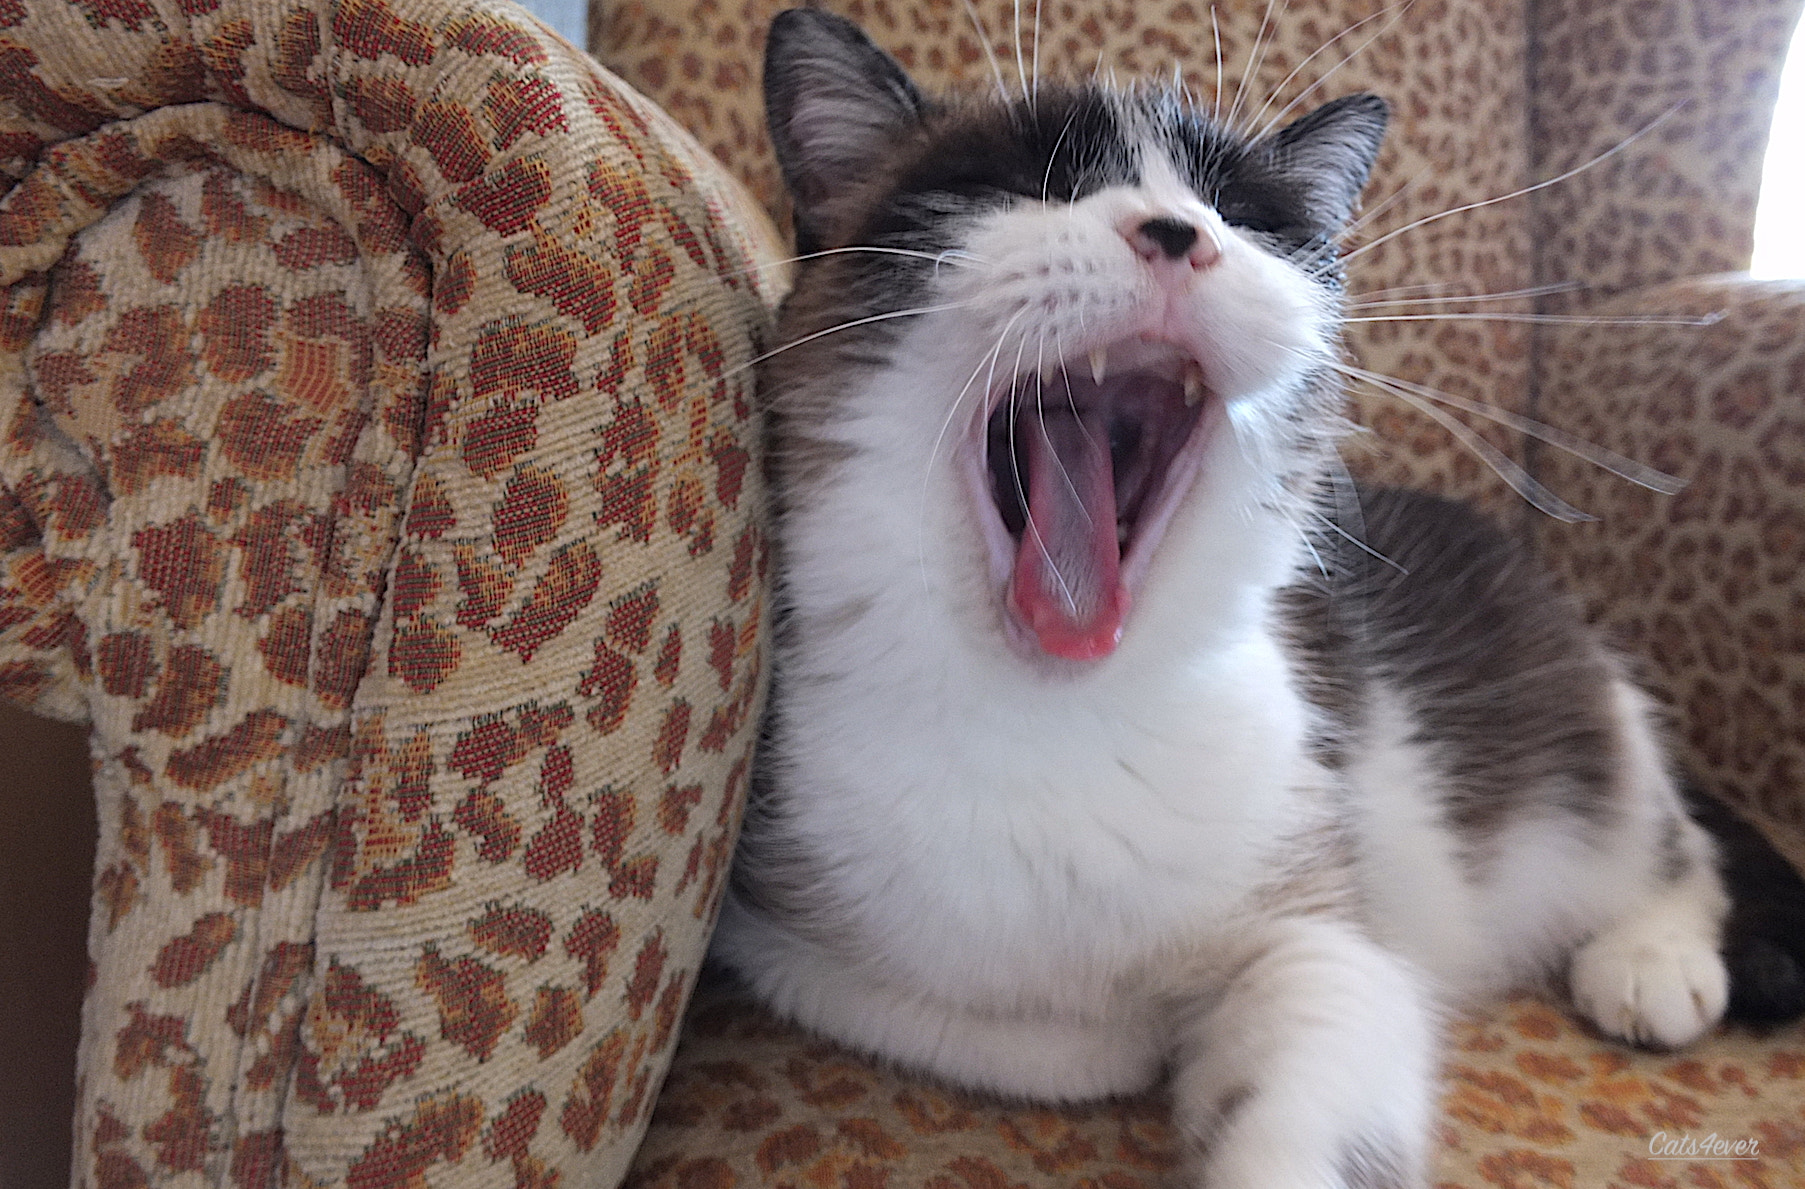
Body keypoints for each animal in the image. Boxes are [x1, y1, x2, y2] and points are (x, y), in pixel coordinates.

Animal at [707, 11, 1805, 1189]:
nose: (1174, 234)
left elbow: (1313, 1068)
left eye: (1243, 216)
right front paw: (1111, 1029)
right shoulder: (781, 932)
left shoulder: (1318, 921)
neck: (1055, 717)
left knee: (1671, 838)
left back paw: (1651, 955)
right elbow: (981, 1020)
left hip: (1587, 742)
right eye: (1020, 180)